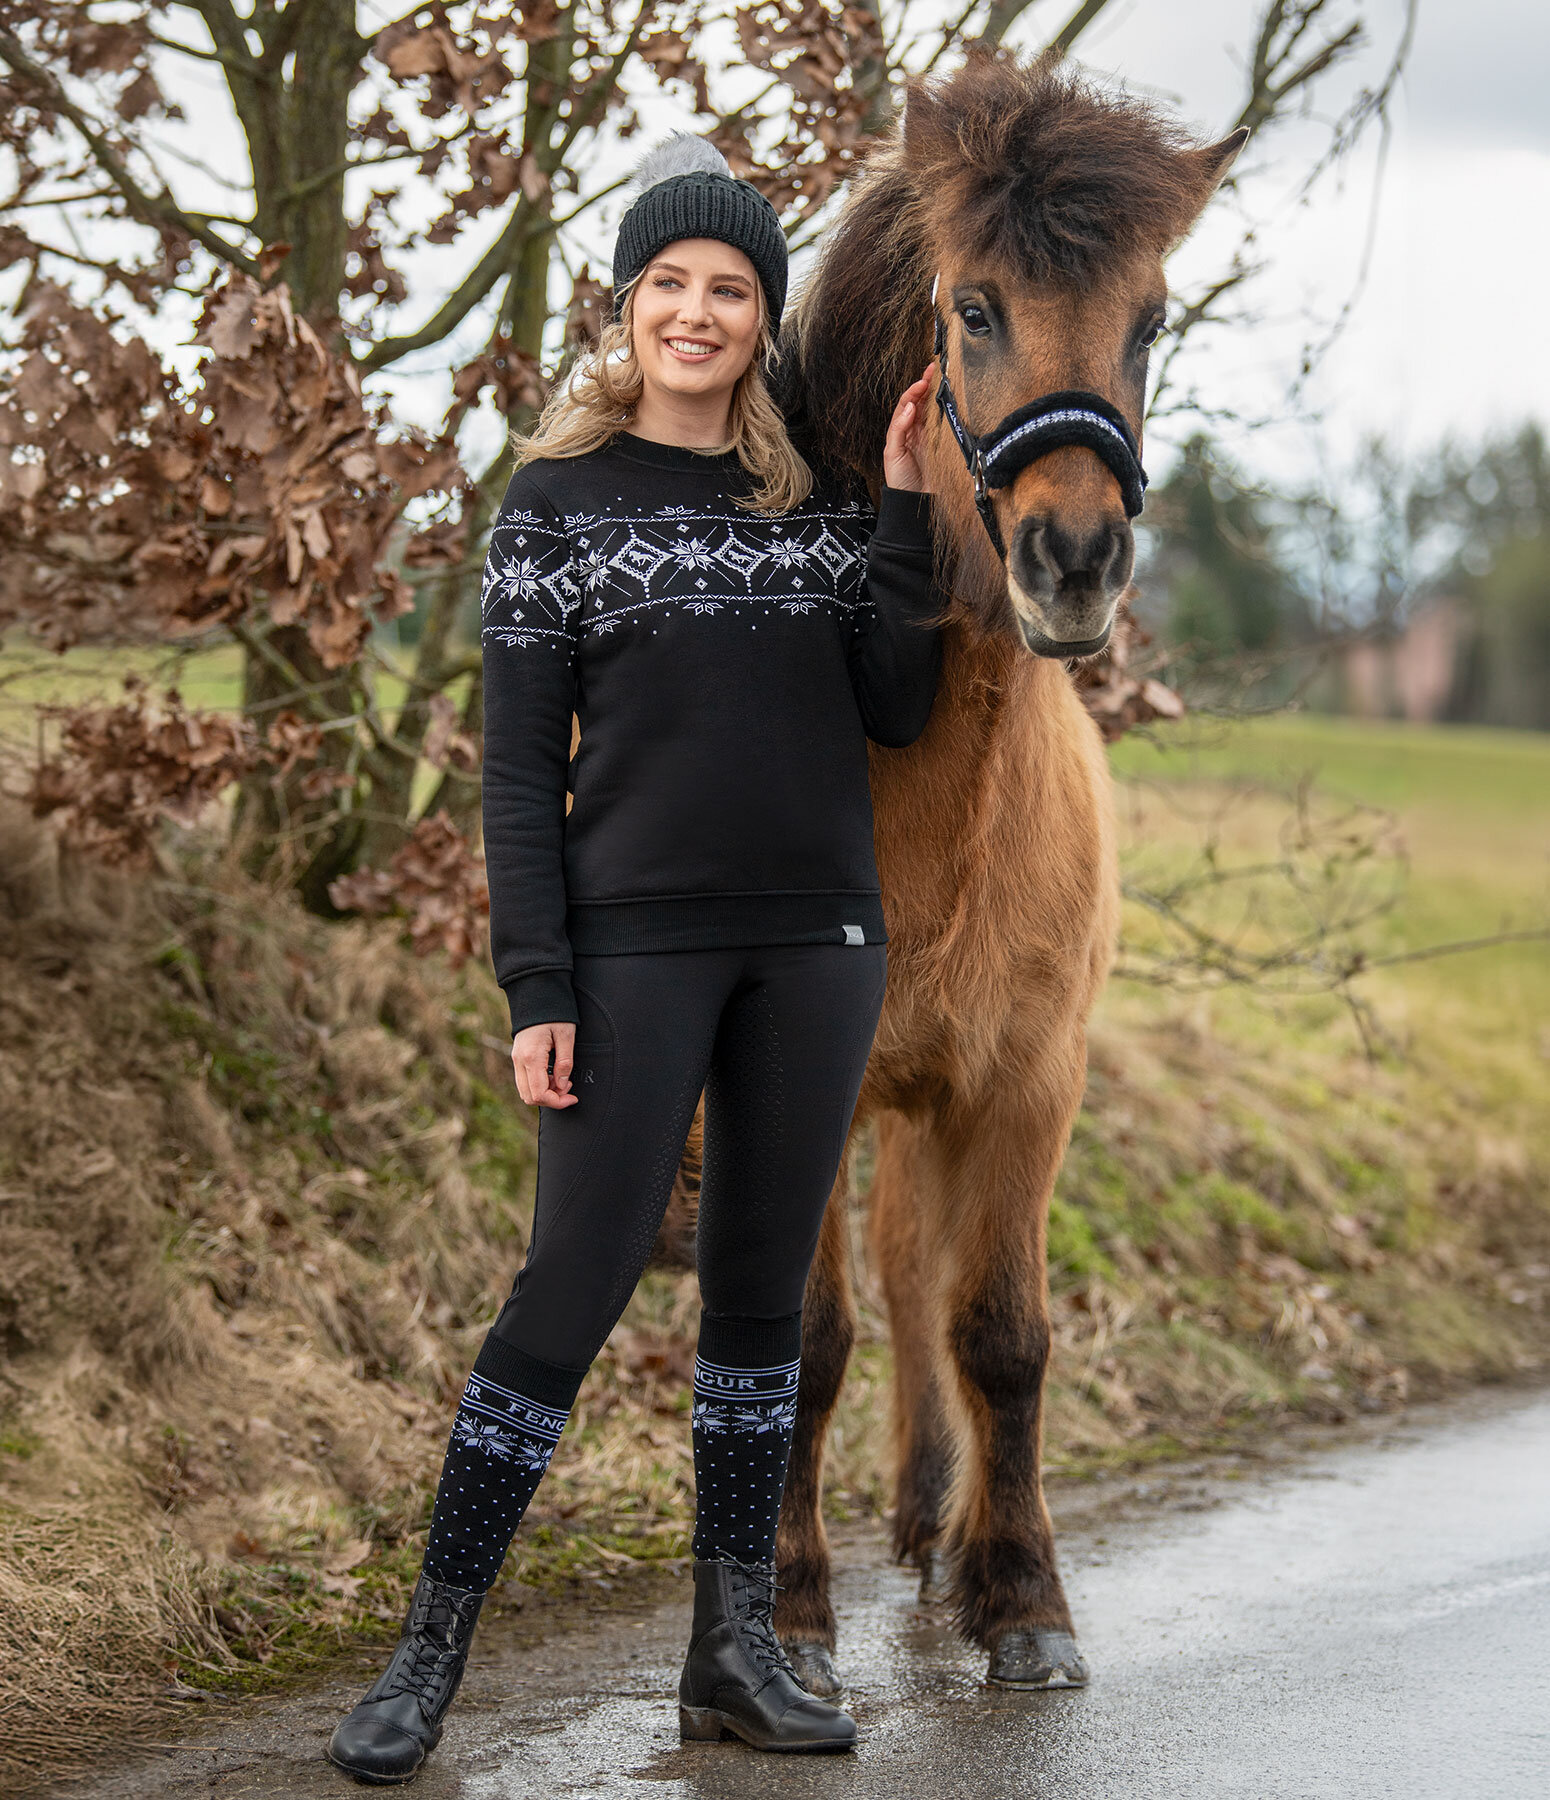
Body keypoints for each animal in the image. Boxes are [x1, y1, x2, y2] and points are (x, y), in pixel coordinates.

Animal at [745, 49, 1238, 1692]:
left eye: (1148, 318)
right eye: (972, 309)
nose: (1072, 560)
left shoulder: (1024, 1083)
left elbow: (1000, 1333)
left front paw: (1019, 1593)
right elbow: (798, 1344)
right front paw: (784, 1616)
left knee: (919, 1278)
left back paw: (932, 1524)